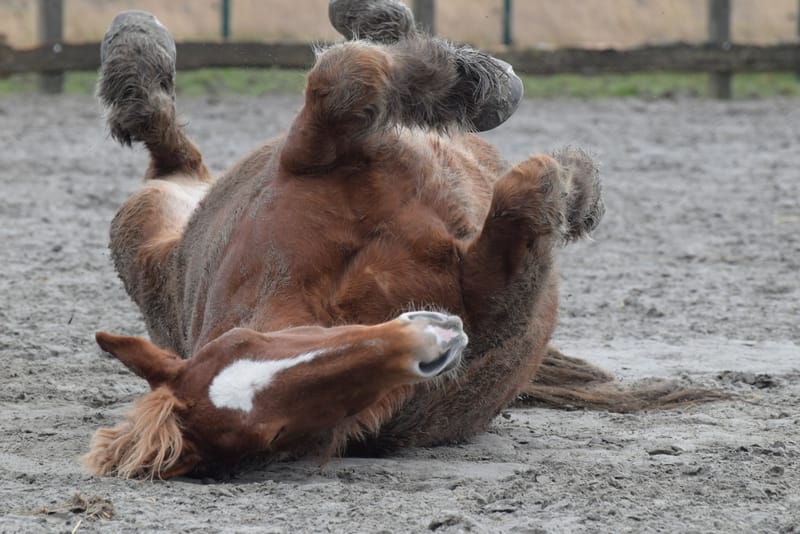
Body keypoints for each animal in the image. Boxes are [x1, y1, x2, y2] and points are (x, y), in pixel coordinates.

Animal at [84, 1, 663, 480]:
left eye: (246, 342)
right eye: (281, 434)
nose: (431, 339)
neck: (339, 294)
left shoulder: (307, 154)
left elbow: (347, 77)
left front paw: (476, 83)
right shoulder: (494, 302)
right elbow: (531, 187)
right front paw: (575, 183)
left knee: (164, 134)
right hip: (143, 225)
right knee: (164, 143)